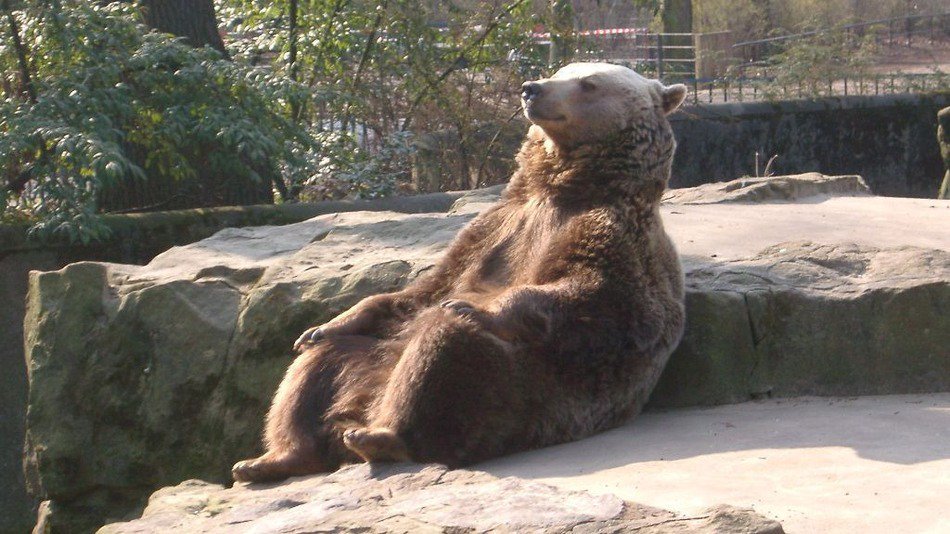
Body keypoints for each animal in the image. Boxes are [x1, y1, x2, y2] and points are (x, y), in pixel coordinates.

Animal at [232, 62, 687, 482]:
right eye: (560, 70)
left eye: (588, 83)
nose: (532, 88)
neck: (562, 187)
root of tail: (363, 404)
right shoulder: (493, 228)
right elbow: (422, 290)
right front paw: (324, 324)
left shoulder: (612, 235)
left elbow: (596, 298)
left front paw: (475, 308)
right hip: (376, 355)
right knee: (318, 365)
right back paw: (272, 456)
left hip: (526, 389)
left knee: (446, 351)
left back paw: (380, 434)